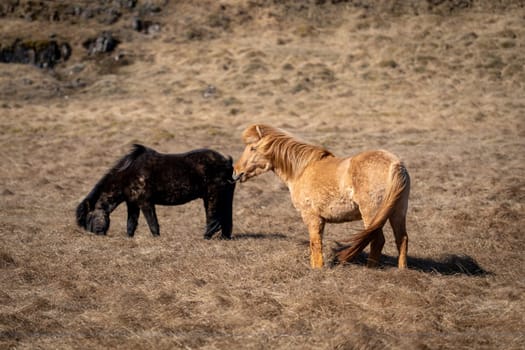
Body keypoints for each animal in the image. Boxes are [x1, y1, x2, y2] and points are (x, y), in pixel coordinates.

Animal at [75, 144, 233, 239]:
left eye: (89, 217)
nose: (95, 235)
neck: (128, 174)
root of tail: (227, 161)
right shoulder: (132, 204)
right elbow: (131, 224)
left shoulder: (145, 203)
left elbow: (153, 224)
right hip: (222, 197)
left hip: (212, 197)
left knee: (213, 220)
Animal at [232, 124, 410, 270]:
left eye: (253, 148)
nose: (236, 172)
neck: (301, 170)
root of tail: (396, 164)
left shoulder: (311, 217)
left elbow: (315, 244)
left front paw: (317, 269)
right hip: (397, 212)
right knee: (402, 239)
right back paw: (402, 270)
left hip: (371, 213)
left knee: (377, 240)